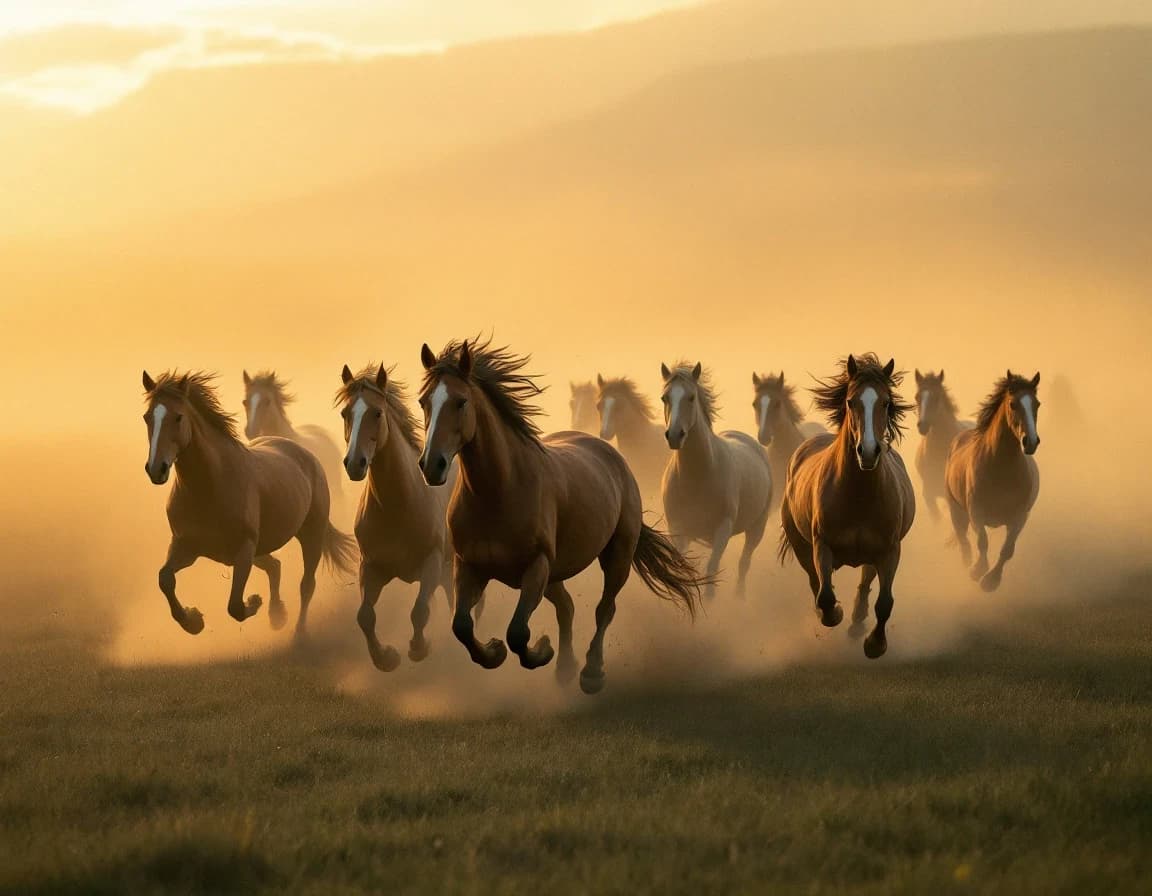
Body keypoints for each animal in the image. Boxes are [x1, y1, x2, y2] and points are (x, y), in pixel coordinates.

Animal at [336, 363, 456, 671]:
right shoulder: (371, 567)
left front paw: (419, 648)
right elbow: (365, 616)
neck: (398, 507)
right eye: (345, 413)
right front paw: (386, 658)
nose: (354, 464)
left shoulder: (432, 562)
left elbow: (420, 610)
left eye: (377, 413)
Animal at [416, 338, 704, 695]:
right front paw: (496, 652)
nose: (432, 465)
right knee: (566, 607)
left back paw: (591, 673)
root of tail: (608, 451)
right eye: (424, 402)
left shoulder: (536, 566)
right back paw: (565, 668)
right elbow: (462, 626)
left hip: (616, 555)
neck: (499, 491)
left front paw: (541, 649)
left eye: (460, 402)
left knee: (604, 609)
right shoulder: (469, 566)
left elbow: (518, 632)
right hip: (556, 573)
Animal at [660, 362, 774, 598]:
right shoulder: (678, 528)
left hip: (757, 528)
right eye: (664, 398)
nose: (674, 435)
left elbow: (711, 569)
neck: (697, 477)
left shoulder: (723, 528)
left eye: (691, 397)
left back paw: (740, 599)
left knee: (744, 563)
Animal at [778, 354, 916, 659]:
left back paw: (856, 624)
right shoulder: (822, 545)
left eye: (886, 402)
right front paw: (834, 615)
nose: (868, 451)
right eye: (851, 401)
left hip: (872, 555)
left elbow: (885, 602)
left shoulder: (889, 550)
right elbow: (825, 595)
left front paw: (875, 644)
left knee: (865, 582)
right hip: (801, 545)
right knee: (815, 581)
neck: (857, 496)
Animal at [944, 371, 1041, 592]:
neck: (1000, 469)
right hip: (956, 510)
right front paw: (977, 571)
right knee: (963, 540)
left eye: (1037, 404)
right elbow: (982, 541)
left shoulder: (1019, 517)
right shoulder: (976, 512)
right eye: (1013, 404)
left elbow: (1007, 550)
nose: (1030, 442)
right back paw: (967, 564)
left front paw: (991, 581)